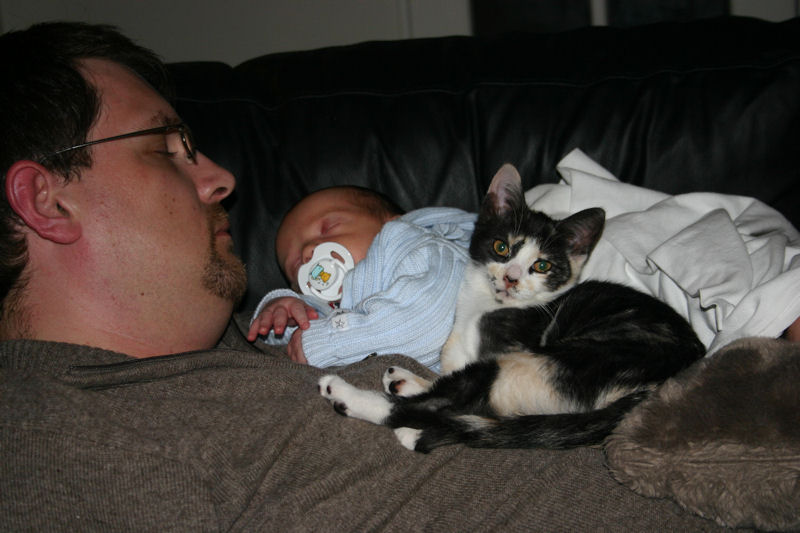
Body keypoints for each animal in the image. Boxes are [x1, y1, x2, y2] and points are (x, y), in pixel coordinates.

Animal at [318, 163, 705, 452]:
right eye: (502, 247)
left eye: (542, 266)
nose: (512, 278)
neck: (480, 307)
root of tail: (653, 390)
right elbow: (452, 374)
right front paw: (418, 381)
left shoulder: (511, 343)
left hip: (549, 360)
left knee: (449, 404)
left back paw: (349, 396)